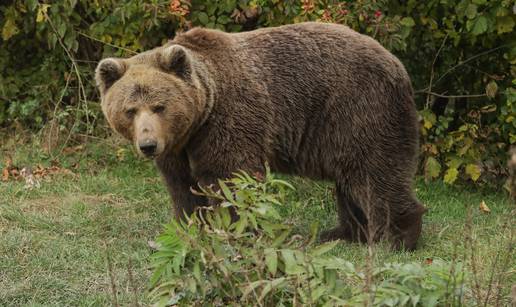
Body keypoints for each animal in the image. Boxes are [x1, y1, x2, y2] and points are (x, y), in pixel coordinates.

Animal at [94, 22, 426, 251]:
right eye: (130, 110)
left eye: (159, 106)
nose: (148, 145)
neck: (201, 115)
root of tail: (397, 63)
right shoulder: (179, 149)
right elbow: (183, 189)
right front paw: (190, 231)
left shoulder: (227, 120)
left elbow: (230, 178)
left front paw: (234, 232)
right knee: (350, 181)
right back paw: (344, 233)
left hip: (359, 109)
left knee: (374, 172)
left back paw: (394, 239)